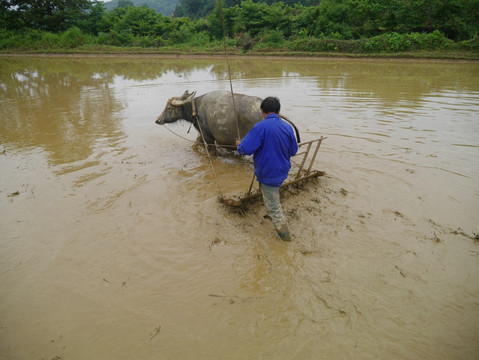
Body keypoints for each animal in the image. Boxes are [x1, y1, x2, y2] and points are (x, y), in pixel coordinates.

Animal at [157, 90, 300, 154]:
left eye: (169, 108)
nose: (158, 120)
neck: (196, 108)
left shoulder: (208, 136)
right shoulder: (202, 135)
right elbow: (196, 144)